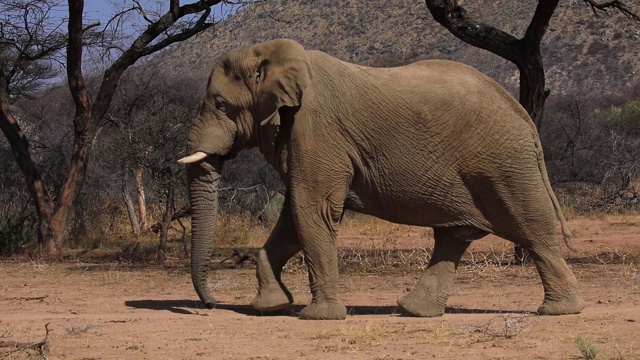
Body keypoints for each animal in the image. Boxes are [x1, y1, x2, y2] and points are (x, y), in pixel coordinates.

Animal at [176, 39, 584, 320]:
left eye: (220, 104)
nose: (210, 304)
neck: (272, 54)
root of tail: (525, 117)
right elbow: (294, 215)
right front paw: (269, 306)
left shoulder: (317, 129)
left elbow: (312, 209)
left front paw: (318, 317)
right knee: (454, 236)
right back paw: (414, 311)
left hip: (504, 164)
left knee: (532, 229)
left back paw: (559, 311)